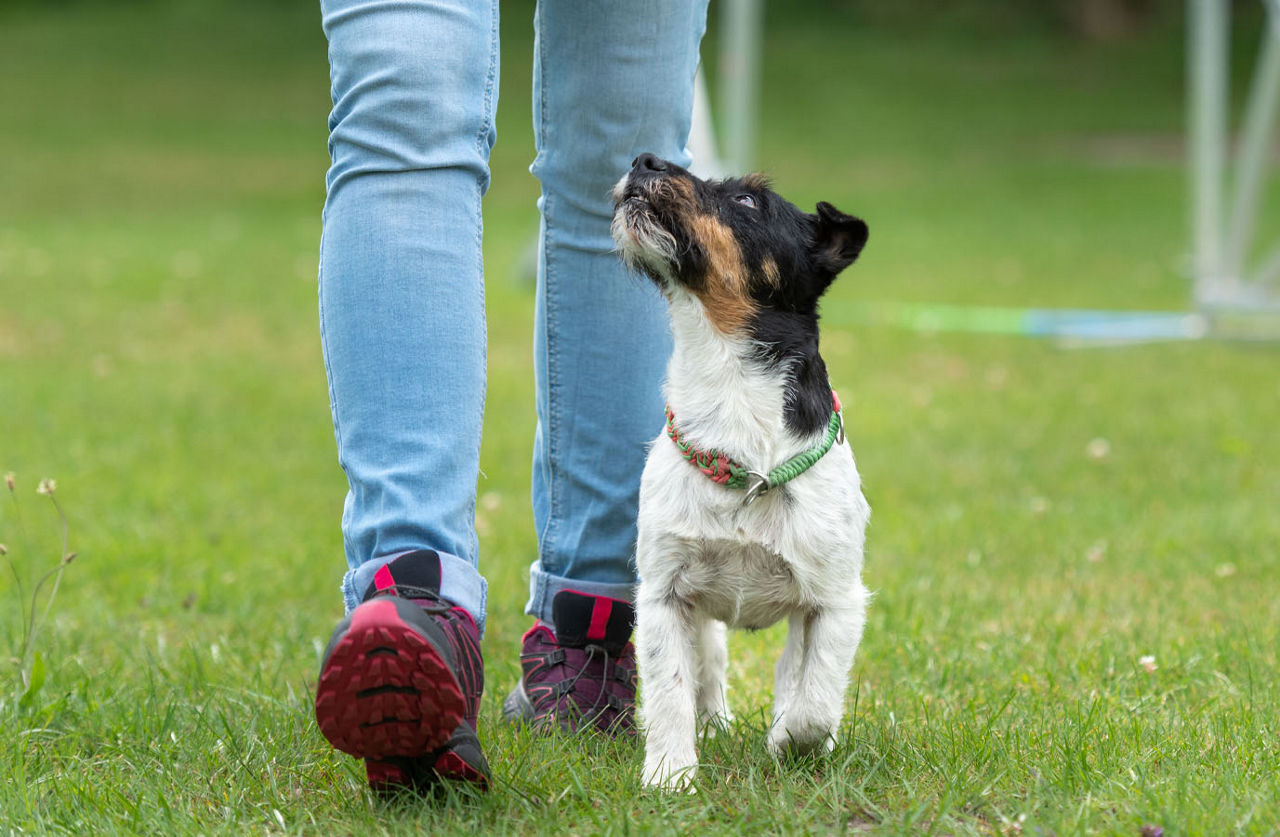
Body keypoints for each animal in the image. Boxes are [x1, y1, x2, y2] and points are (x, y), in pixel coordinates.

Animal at [609, 155, 870, 793]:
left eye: (750, 202)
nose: (643, 160)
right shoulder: (664, 595)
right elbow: (670, 692)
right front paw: (670, 775)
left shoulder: (836, 602)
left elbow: (813, 700)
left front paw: (789, 740)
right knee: (708, 673)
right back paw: (711, 727)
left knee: (792, 672)